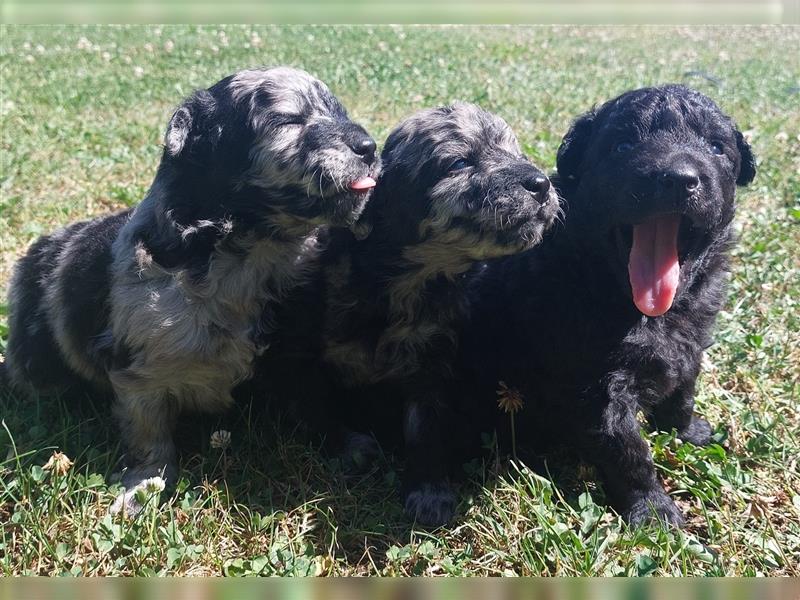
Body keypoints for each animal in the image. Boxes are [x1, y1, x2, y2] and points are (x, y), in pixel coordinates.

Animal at [3, 67, 378, 516]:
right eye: (289, 119)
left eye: (339, 112)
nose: (369, 146)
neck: (250, 252)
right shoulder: (138, 371)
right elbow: (149, 436)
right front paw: (140, 491)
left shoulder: (299, 352)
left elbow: (315, 403)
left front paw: (346, 444)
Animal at [462, 83, 756, 524]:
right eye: (622, 146)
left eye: (716, 147)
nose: (677, 179)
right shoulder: (597, 385)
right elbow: (628, 449)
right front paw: (653, 511)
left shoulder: (690, 344)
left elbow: (683, 391)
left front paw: (687, 431)